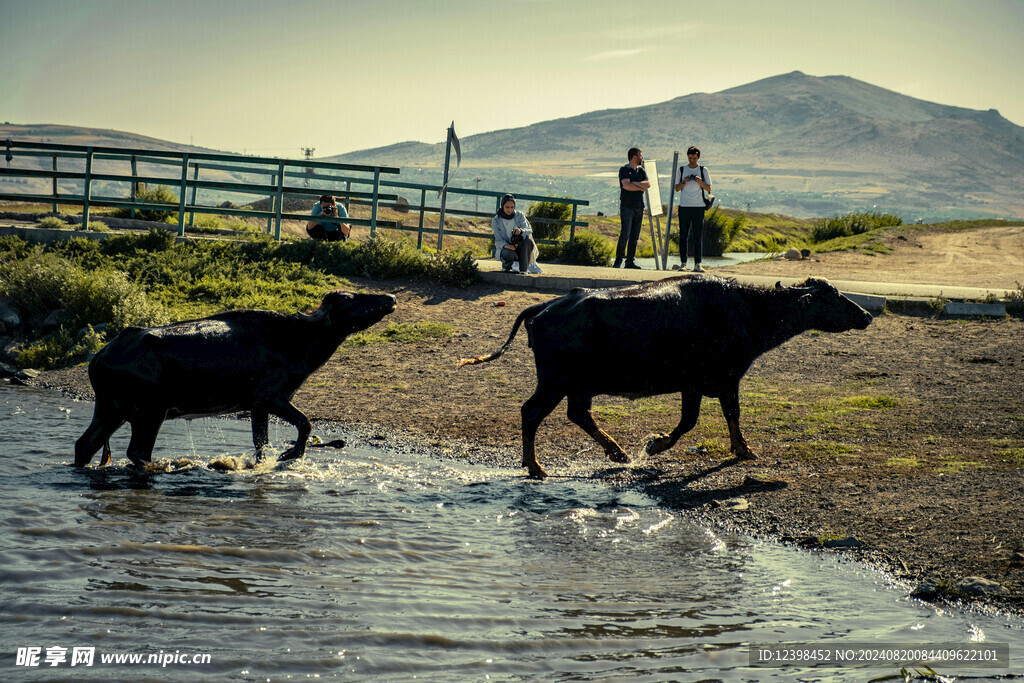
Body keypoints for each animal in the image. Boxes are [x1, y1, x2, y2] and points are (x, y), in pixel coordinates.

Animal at [74, 290, 395, 466]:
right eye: (350, 299)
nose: (390, 298)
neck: (295, 339)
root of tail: (101, 354)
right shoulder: (270, 398)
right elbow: (303, 424)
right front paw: (289, 454)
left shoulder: (259, 405)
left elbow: (263, 442)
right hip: (149, 413)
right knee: (137, 452)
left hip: (111, 409)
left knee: (85, 444)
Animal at [460, 274, 868, 479]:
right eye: (832, 296)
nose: (866, 315)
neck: (746, 308)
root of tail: (546, 306)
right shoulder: (722, 379)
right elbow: (716, 417)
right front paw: (738, 449)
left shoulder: (700, 384)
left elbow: (701, 419)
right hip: (555, 380)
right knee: (533, 413)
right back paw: (536, 467)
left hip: (576, 385)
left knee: (578, 414)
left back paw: (617, 452)